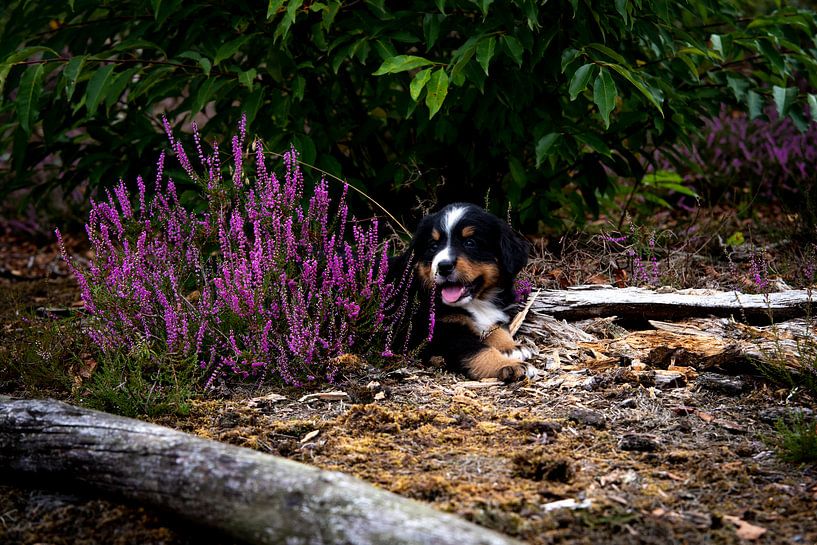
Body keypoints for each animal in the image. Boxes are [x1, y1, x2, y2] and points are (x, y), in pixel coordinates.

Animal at [390, 202, 536, 380]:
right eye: (433, 246)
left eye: (470, 243)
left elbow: (495, 328)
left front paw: (512, 347)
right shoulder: (443, 333)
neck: (477, 301)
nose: (444, 266)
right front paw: (509, 365)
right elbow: (479, 351)